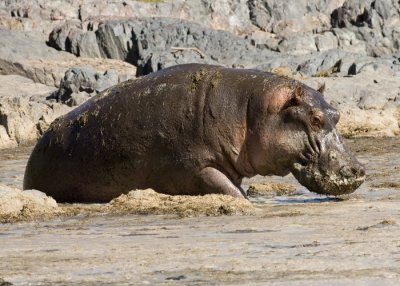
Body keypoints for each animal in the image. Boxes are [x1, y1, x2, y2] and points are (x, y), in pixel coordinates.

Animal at [23, 63, 364, 202]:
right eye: (316, 119)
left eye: (337, 114)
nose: (357, 168)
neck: (250, 109)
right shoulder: (195, 166)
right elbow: (232, 192)